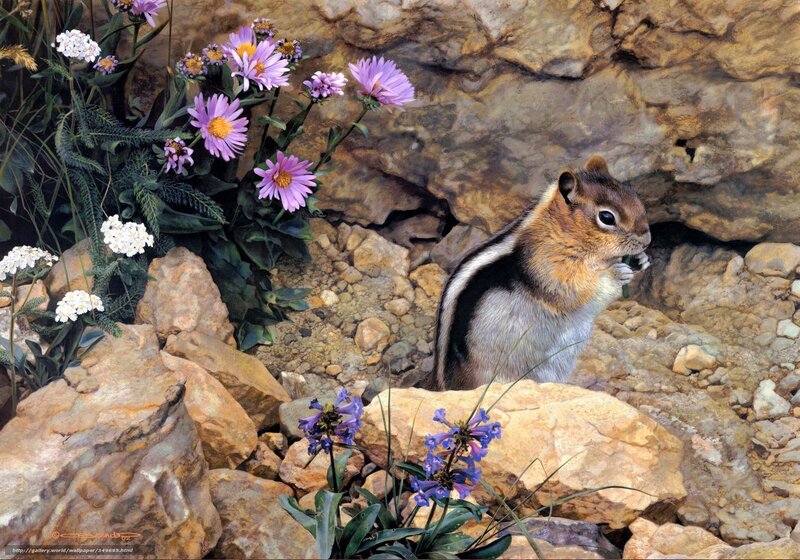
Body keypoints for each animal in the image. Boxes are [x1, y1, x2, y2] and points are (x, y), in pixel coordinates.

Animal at [426, 155, 651, 391]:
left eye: (634, 195)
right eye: (606, 217)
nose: (647, 240)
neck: (558, 231)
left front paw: (640, 260)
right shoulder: (548, 268)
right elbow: (575, 291)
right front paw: (616, 273)